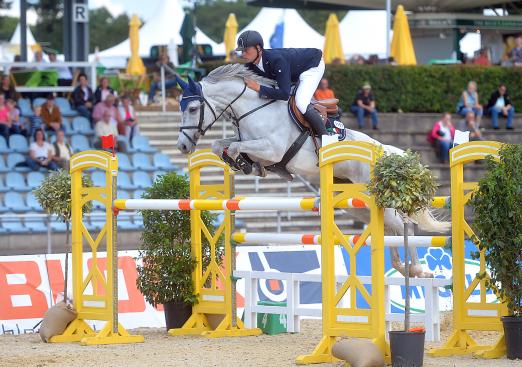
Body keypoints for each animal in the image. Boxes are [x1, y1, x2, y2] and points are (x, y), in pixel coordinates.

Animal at [175, 64, 446, 276]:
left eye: (192, 109)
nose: (182, 146)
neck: (253, 109)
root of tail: (383, 153)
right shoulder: (252, 143)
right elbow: (220, 144)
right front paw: (243, 163)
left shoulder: (271, 149)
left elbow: (234, 147)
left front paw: (243, 163)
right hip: (356, 205)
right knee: (391, 227)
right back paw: (402, 266)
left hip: (371, 198)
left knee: (402, 225)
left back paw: (417, 269)